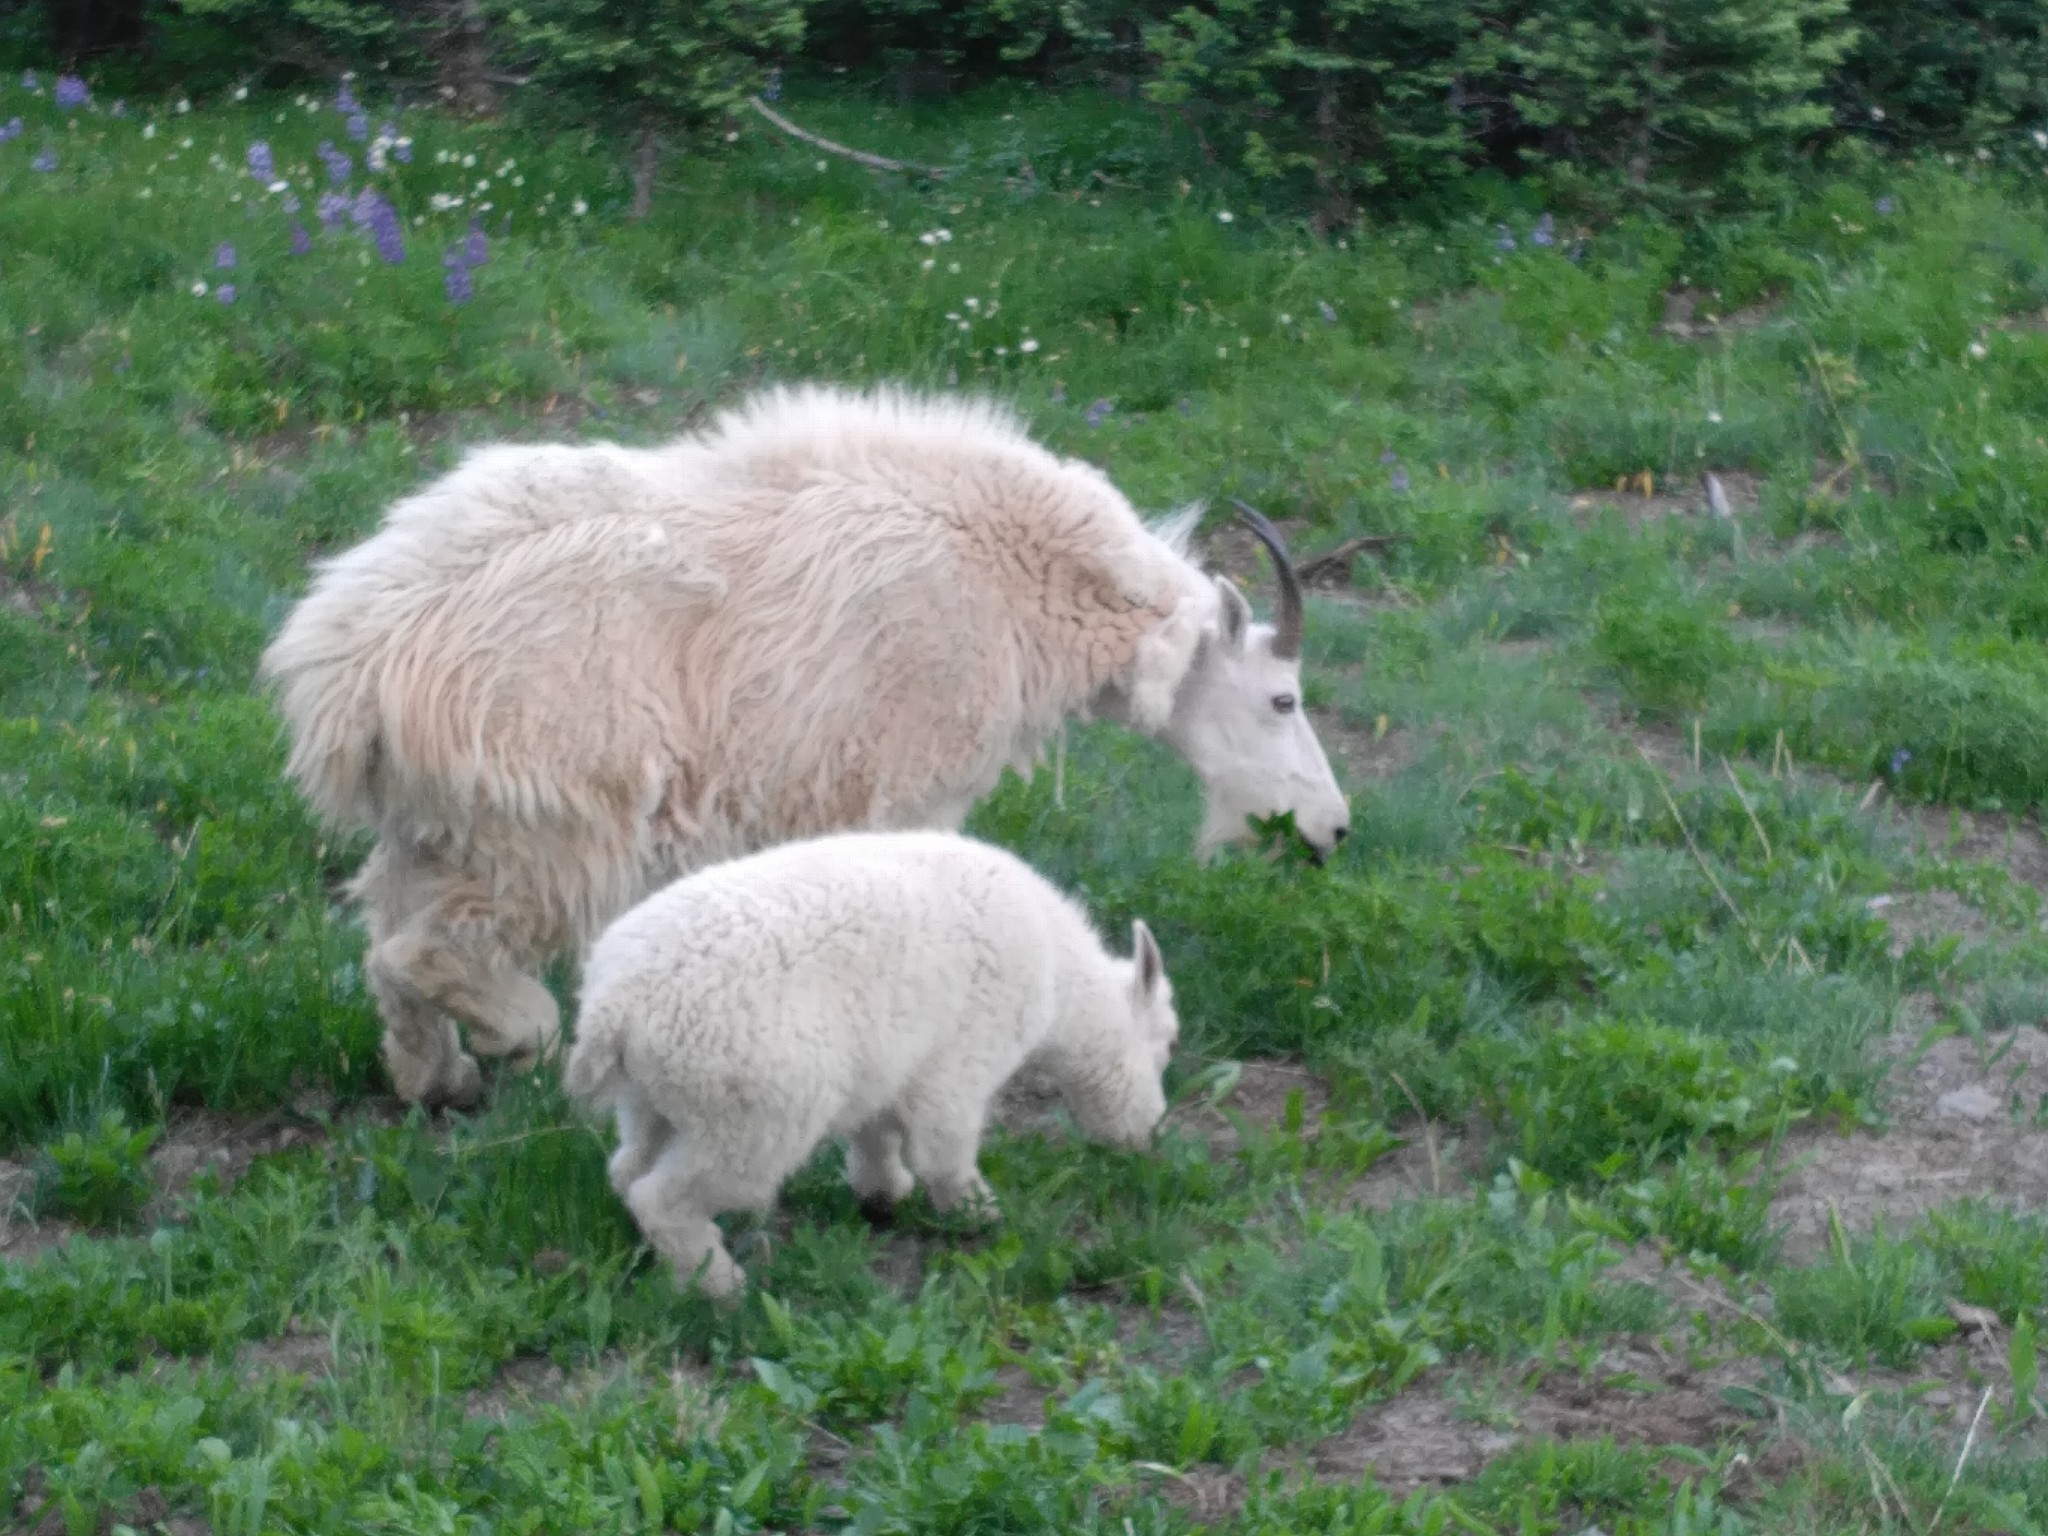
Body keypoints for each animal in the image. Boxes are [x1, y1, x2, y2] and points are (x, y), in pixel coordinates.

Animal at [264, 382, 1351, 1105]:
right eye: (1283, 698)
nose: (1331, 830)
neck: (1013, 579)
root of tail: (343, 671)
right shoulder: (908, 787)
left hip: (438, 820)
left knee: (388, 936)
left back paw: (434, 1077)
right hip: (545, 821)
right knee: (427, 948)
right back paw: (514, 1036)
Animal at [565, 835, 1187, 1302]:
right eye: (1169, 1043)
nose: (1149, 1136)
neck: (1065, 989)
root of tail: (614, 1006)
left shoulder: (893, 1066)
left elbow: (878, 1135)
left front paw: (882, 1196)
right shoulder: (960, 1064)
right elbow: (945, 1152)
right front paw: (978, 1214)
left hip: (653, 1102)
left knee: (627, 1170)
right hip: (752, 1118)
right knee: (661, 1196)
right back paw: (719, 1285)